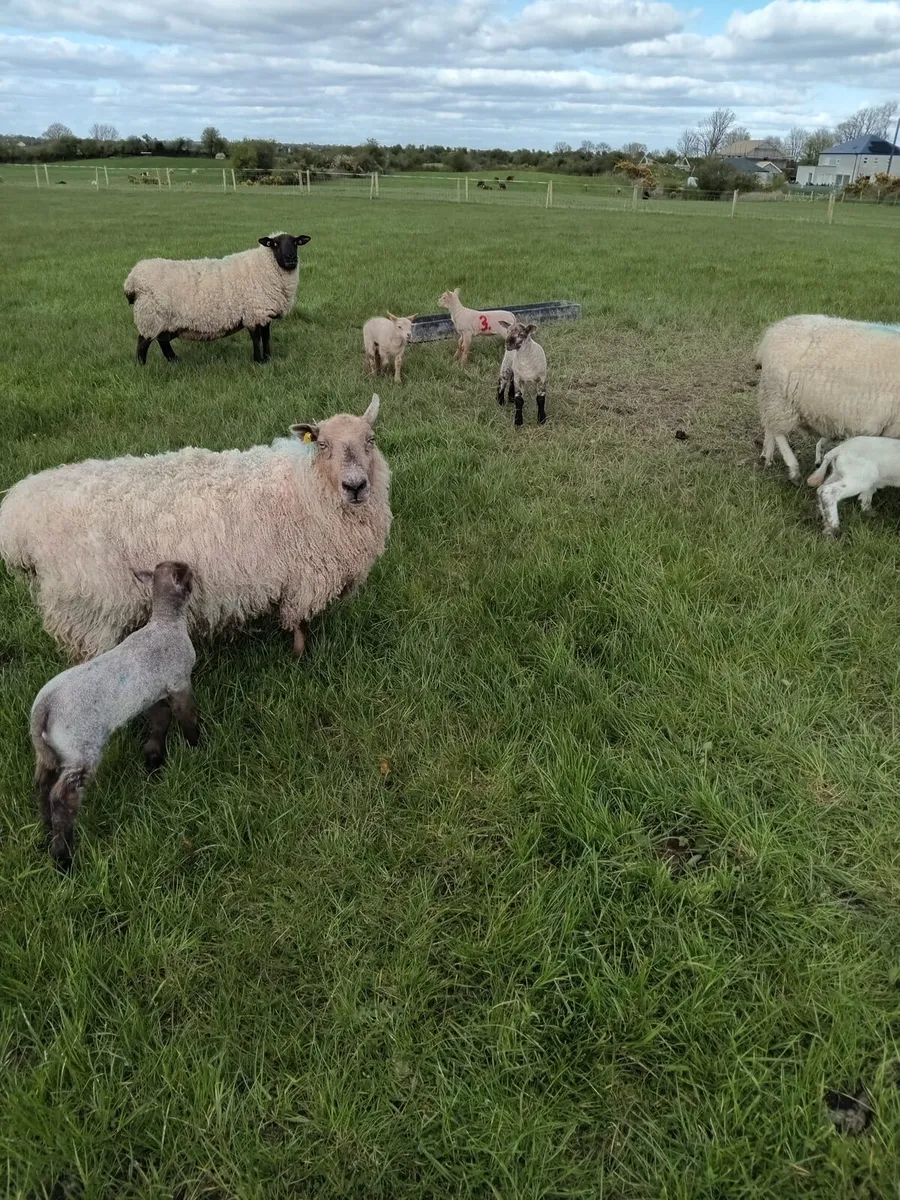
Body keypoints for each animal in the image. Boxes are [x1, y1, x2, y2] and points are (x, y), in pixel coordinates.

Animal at [0, 396, 390, 662]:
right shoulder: (301, 579)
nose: (355, 486)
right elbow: (298, 625)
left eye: (370, 440)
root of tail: (18, 517)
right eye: (322, 445)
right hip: (89, 610)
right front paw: (298, 658)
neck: (304, 484)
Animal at [30, 561, 198, 869]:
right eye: (187, 573)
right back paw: (63, 856)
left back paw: (48, 829)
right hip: (82, 749)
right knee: (62, 796)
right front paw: (197, 746)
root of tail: (43, 708)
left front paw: (153, 762)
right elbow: (186, 716)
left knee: (43, 784)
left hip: (47, 752)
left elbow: (160, 722)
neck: (165, 622)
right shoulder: (179, 680)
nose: (194, 571)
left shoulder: (151, 695)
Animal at [123, 231, 311, 365]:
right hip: (151, 315)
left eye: (296, 243)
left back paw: (174, 361)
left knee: (162, 340)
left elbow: (266, 338)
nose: (291, 259)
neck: (264, 267)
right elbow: (257, 338)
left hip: (163, 319)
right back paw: (142, 366)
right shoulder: (253, 313)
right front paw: (259, 361)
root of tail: (132, 279)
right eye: (274, 244)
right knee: (143, 342)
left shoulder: (263, 313)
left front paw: (268, 359)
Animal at [757, 315, 900, 483]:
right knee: (778, 432)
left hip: (773, 395)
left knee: (769, 425)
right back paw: (793, 469)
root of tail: (775, 330)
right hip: (780, 398)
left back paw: (767, 456)